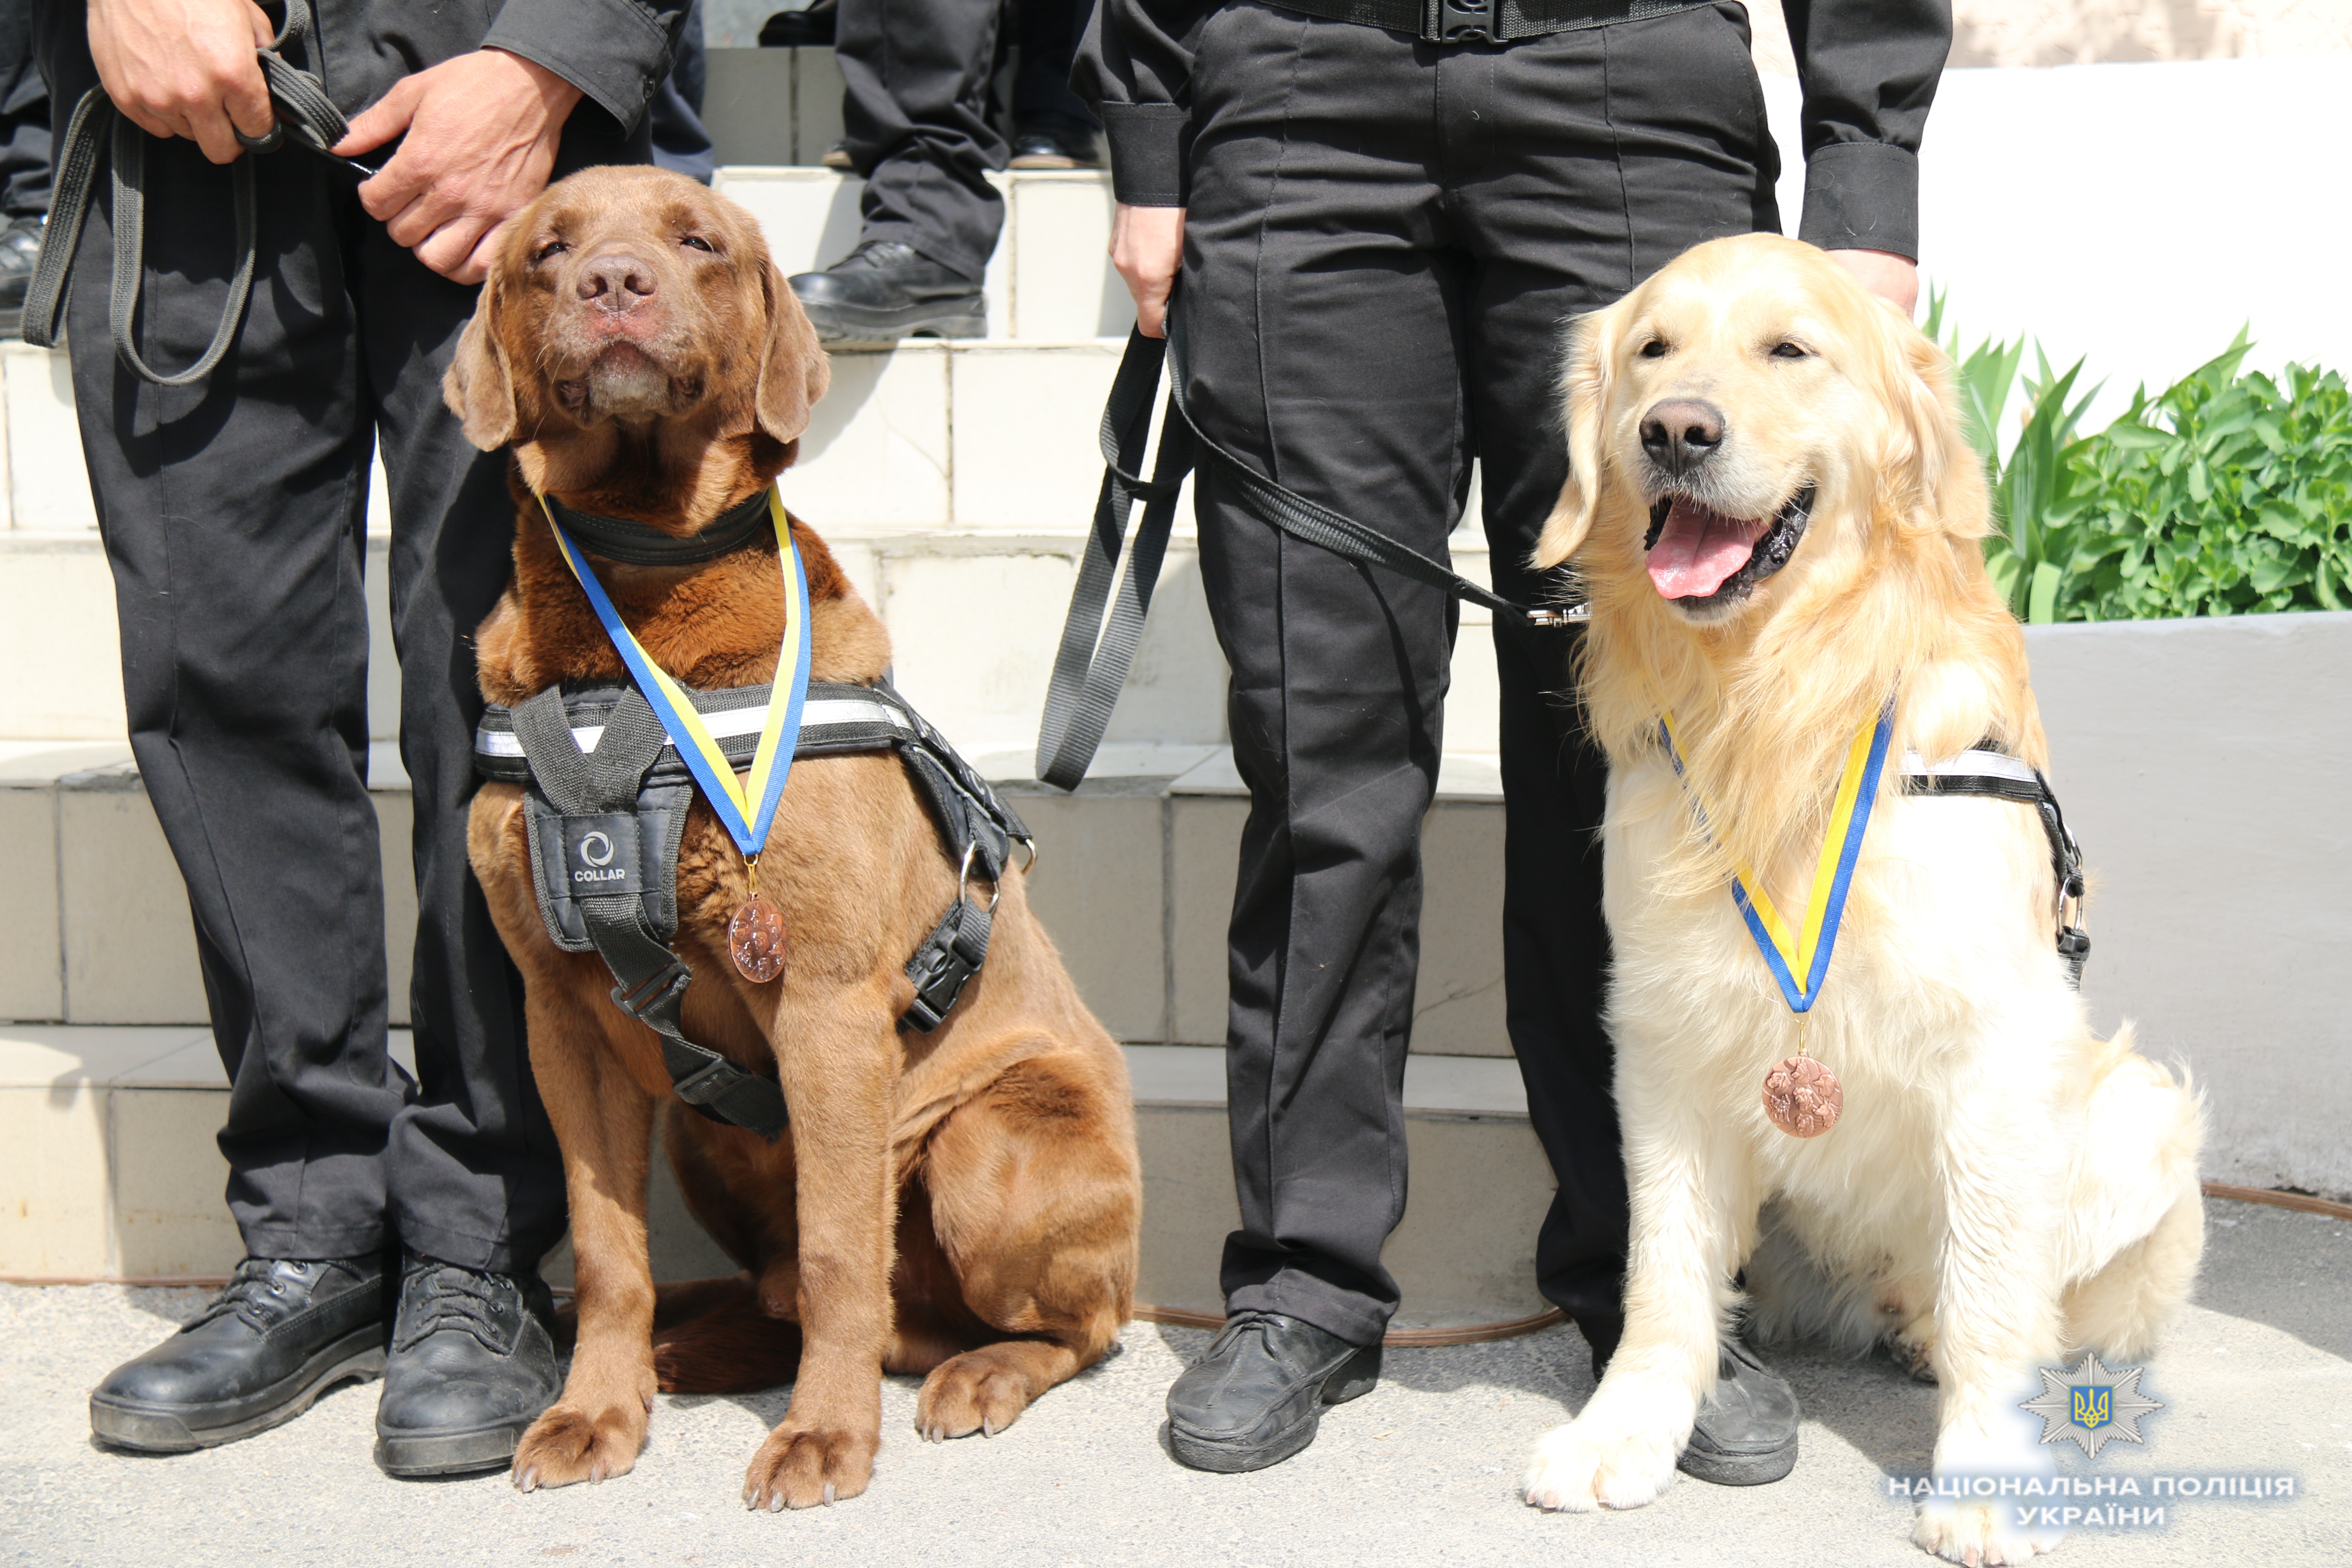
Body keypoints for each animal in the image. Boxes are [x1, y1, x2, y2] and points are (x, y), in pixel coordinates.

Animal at [447, 169, 1138, 1504]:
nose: (614, 284)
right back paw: (691, 1346)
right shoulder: (562, 1013)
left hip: (986, 1143)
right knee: (776, 1287)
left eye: (696, 240)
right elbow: (606, 1250)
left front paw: (824, 1437)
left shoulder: (821, 1000)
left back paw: (976, 1373)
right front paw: (594, 1410)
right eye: (548, 250)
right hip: (705, 1128)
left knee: (1073, 1327)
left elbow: (835, 1255)